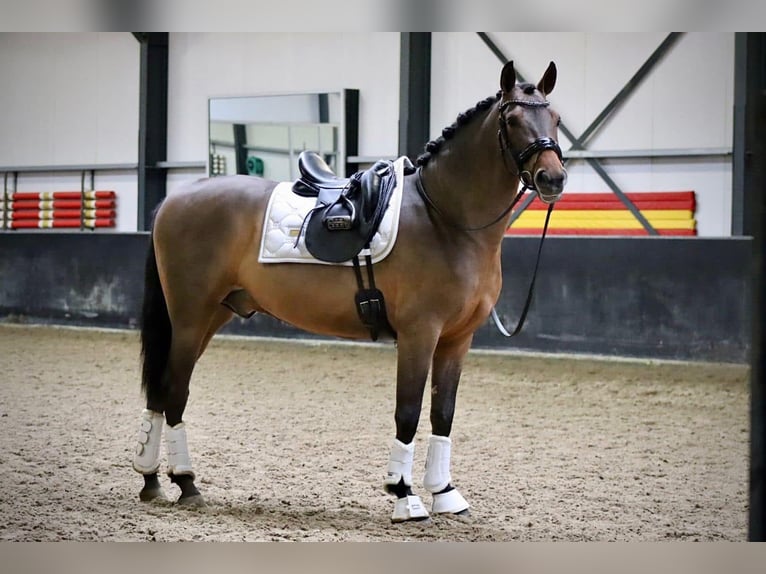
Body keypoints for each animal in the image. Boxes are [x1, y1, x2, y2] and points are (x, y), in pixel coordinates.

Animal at [131, 61, 567, 523]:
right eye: (512, 119)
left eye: (556, 119)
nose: (553, 178)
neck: (445, 219)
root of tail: (175, 199)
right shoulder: (419, 334)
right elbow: (408, 411)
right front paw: (404, 495)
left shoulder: (456, 339)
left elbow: (442, 414)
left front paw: (445, 493)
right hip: (190, 317)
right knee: (174, 390)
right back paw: (185, 482)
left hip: (211, 315)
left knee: (161, 389)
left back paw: (152, 479)